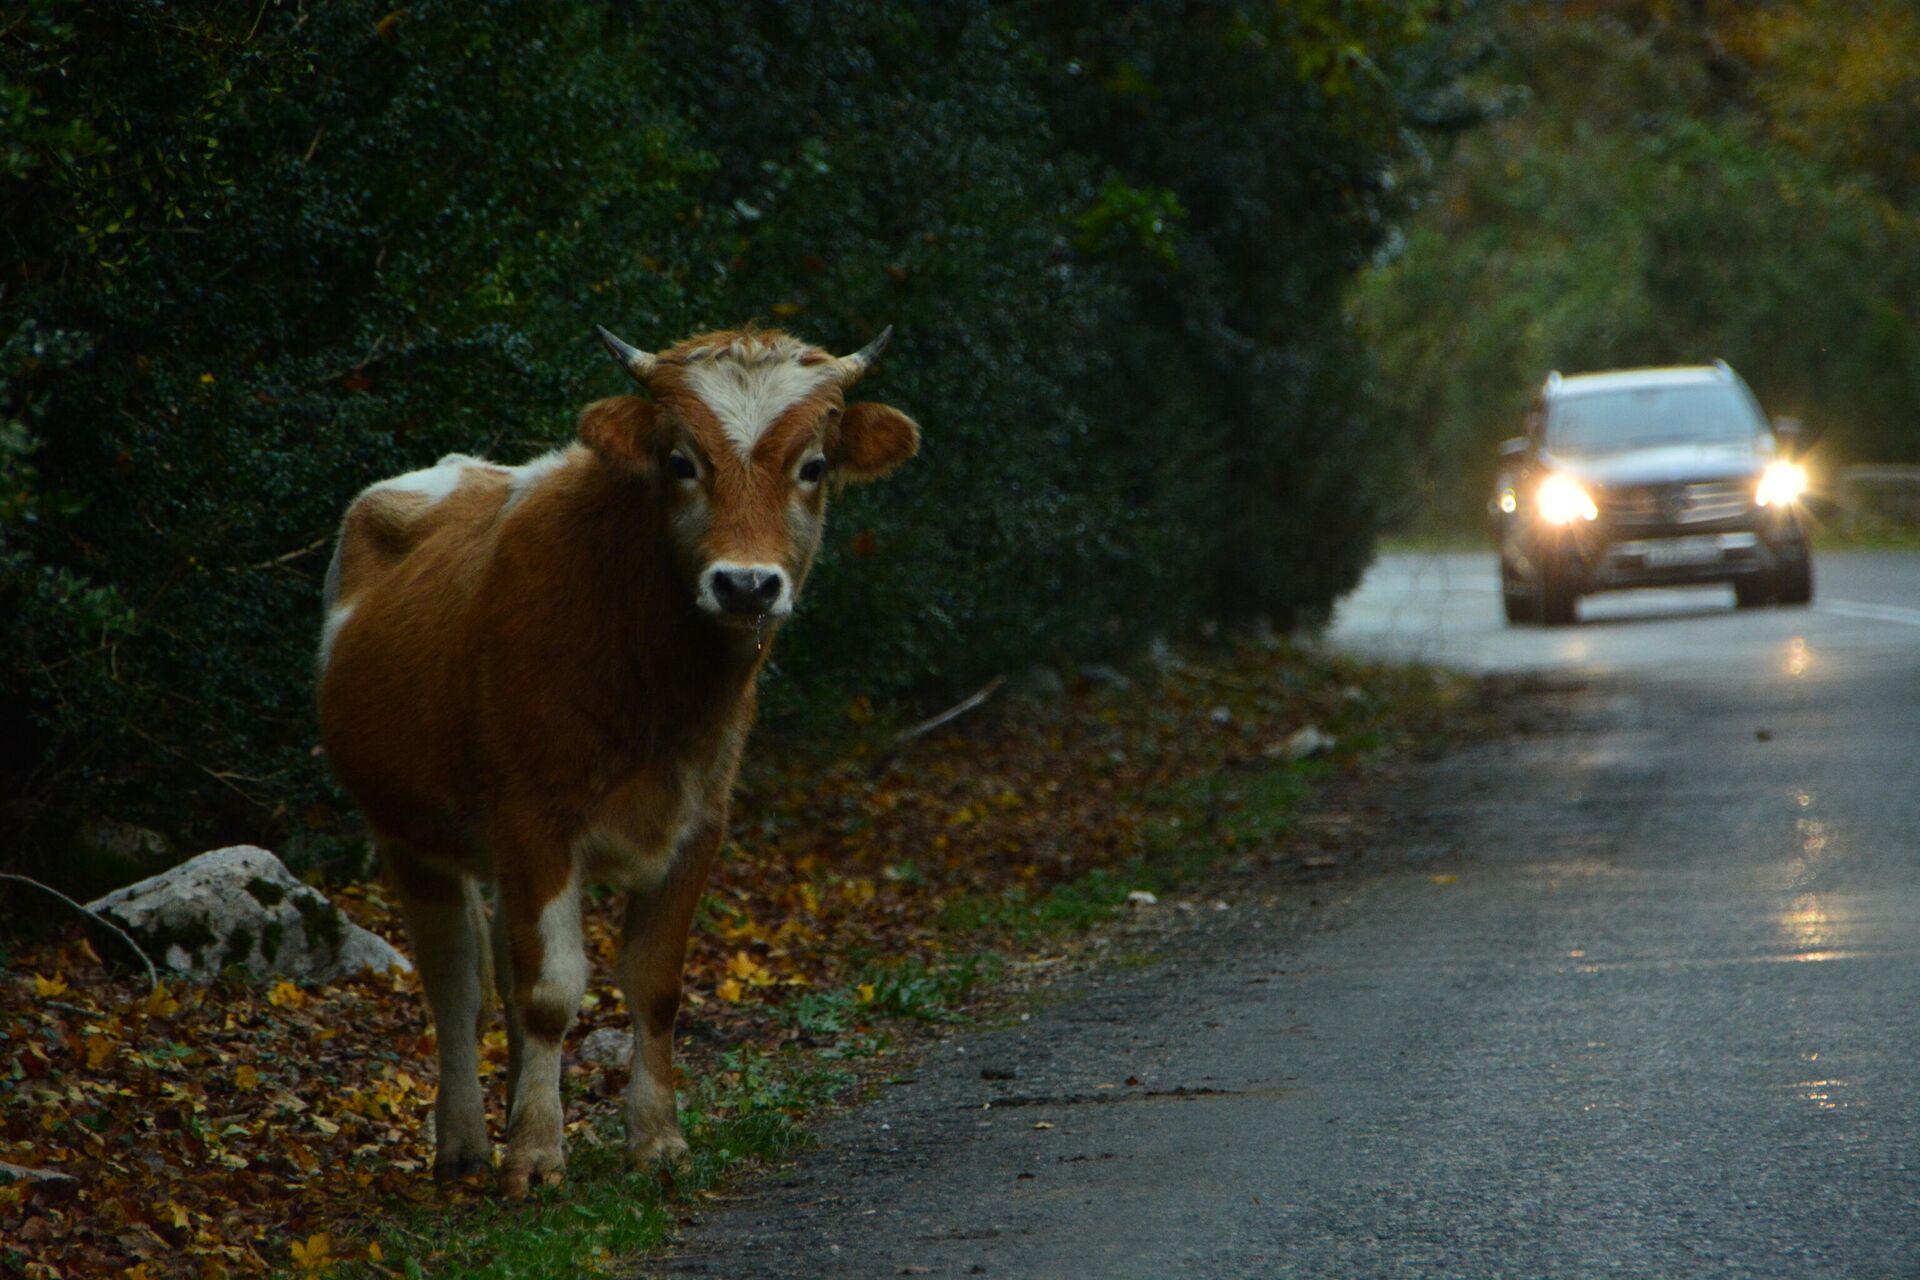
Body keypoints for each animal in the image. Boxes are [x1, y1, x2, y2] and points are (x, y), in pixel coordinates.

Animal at [318, 326, 917, 1197]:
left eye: (813, 466)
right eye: (680, 461)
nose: (745, 585)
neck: (655, 683)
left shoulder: (699, 822)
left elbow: (654, 984)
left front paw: (655, 1140)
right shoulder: (533, 818)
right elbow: (550, 991)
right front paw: (536, 1154)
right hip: (408, 831)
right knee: (456, 984)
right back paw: (464, 1143)